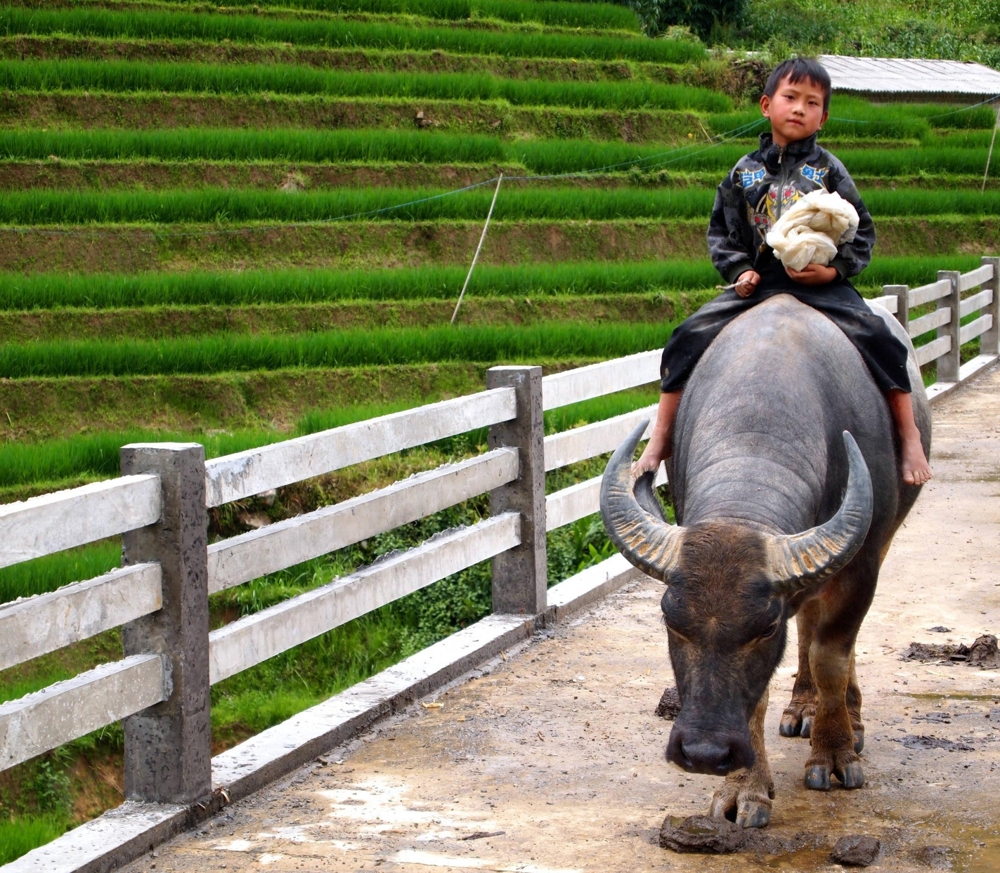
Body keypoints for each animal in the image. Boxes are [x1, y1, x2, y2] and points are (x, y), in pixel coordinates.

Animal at [600, 292, 928, 824]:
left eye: (766, 627)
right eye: (670, 620)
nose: (704, 752)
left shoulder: (860, 569)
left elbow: (831, 655)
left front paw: (833, 756)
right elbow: (759, 694)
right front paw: (744, 789)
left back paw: (848, 719)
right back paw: (801, 708)